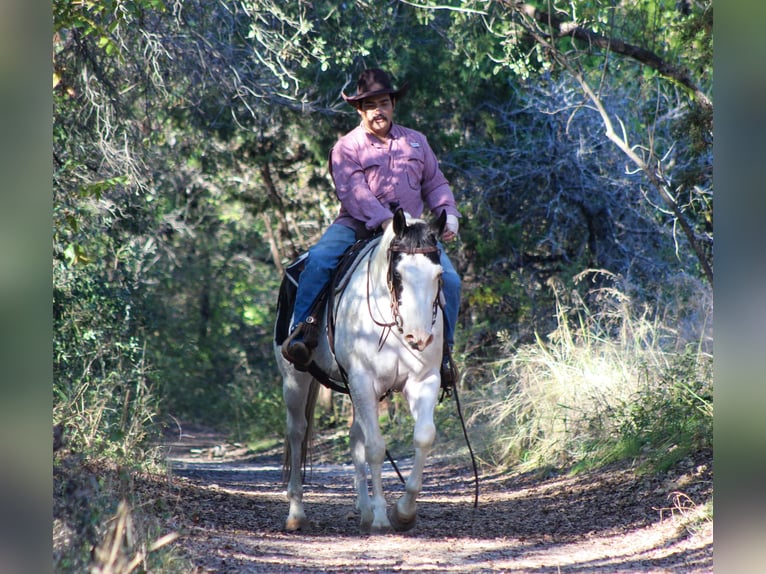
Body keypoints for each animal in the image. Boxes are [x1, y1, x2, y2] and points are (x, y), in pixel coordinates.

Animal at [274, 208, 447, 533]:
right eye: (397, 274)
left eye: (439, 275)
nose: (418, 338)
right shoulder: (363, 381)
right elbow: (376, 447)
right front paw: (381, 518)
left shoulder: (422, 380)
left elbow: (423, 436)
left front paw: (403, 512)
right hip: (295, 378)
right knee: (297, 431)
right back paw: (296, 513)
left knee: (355, 436)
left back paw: (364, 509)